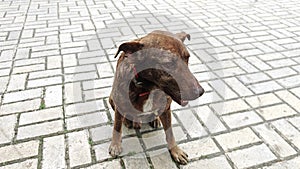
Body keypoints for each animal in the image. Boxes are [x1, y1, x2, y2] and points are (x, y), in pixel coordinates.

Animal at [108, 30, 204, 164]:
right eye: (169, 64)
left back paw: (155, 119)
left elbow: (170, 133)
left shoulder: (166, 108)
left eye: (187, 58)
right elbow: (117, 126)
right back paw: (128, 121)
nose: (200, 92)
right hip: (111, 98)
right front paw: (115, 146)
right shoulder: (120, 103)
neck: (148, 89)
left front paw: (175, 150)